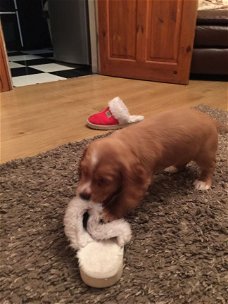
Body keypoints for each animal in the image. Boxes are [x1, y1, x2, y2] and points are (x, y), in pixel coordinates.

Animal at [77, 108, 219, 221]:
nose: (83, 195)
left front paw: (110, 213)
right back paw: (173, 168)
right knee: (183, 161)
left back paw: (204, 182)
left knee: (210, 166)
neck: (127, 143)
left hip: (204, 154)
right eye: (83, 172)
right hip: (184, 150)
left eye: (104, 181)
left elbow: (124, 200)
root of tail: (210, 119)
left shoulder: (137, 184)